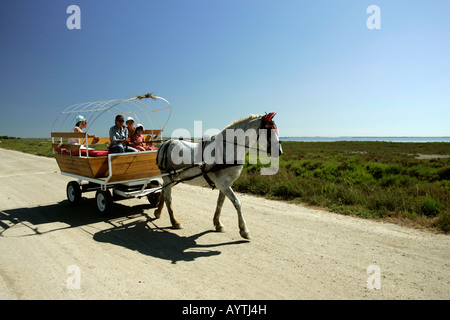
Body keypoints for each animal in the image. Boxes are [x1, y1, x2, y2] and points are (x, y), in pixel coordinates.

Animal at [155, 111, 282, 239]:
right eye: (269, 129)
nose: (279, 151)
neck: (228, 149)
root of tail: (165, 143)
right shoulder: (223, 183)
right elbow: (237, 203)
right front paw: (244, 230)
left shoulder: (226, 184)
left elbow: (220, 203)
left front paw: (218, 224)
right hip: (168, 178)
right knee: (168, 198)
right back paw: (174, 221)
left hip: (173, 178)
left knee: (163, 191)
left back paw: (158, 212)